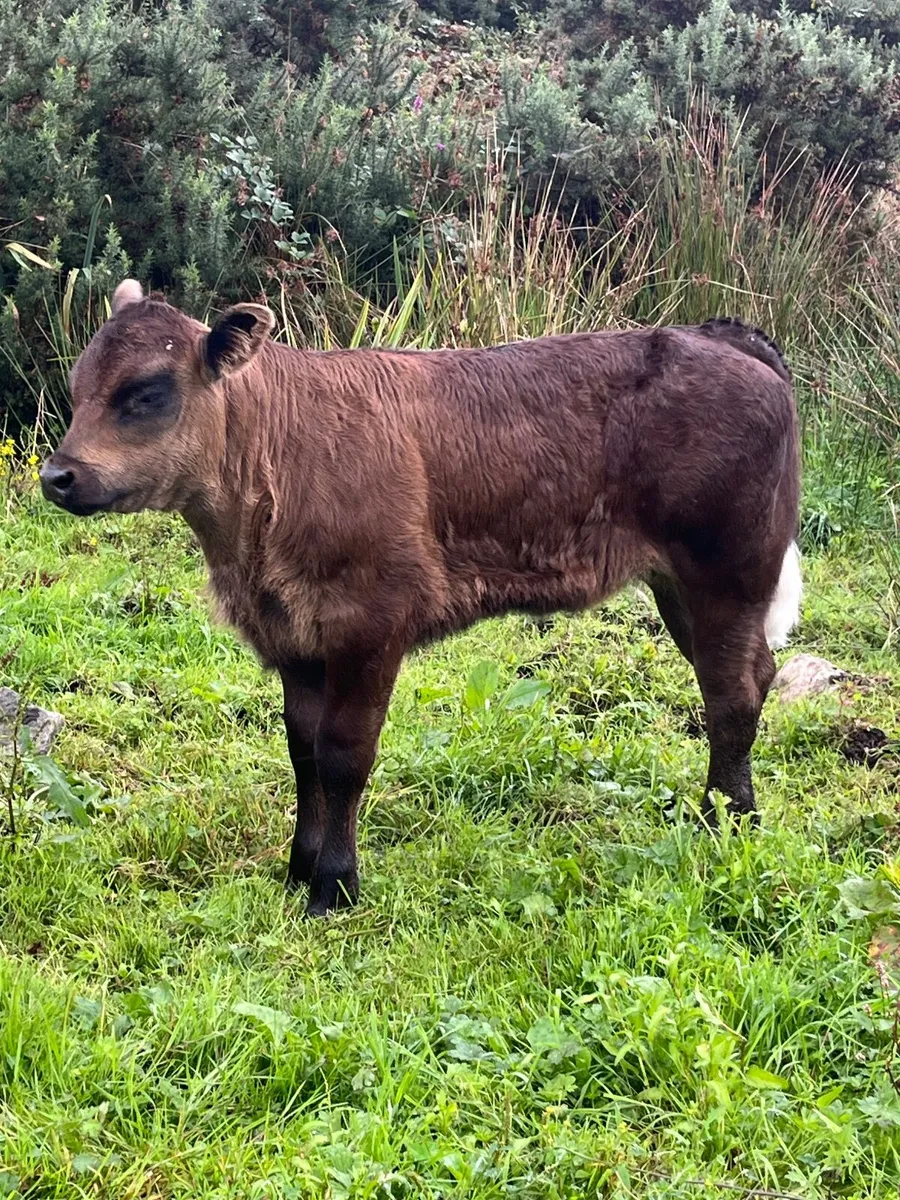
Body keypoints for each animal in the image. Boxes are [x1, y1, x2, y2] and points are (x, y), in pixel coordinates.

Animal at [40, 279, 801, 915]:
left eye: (146, 393)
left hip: (727, 571)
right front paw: (298, 867)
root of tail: (718, 335)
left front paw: (334, 885)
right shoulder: (293, 633)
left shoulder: (370, 623)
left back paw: (726, 824)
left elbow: (344, 753)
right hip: (683, 587)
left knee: (731, 696)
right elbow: (303, 748)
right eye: (77, 388)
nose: (57, 475)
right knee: (752, 674)